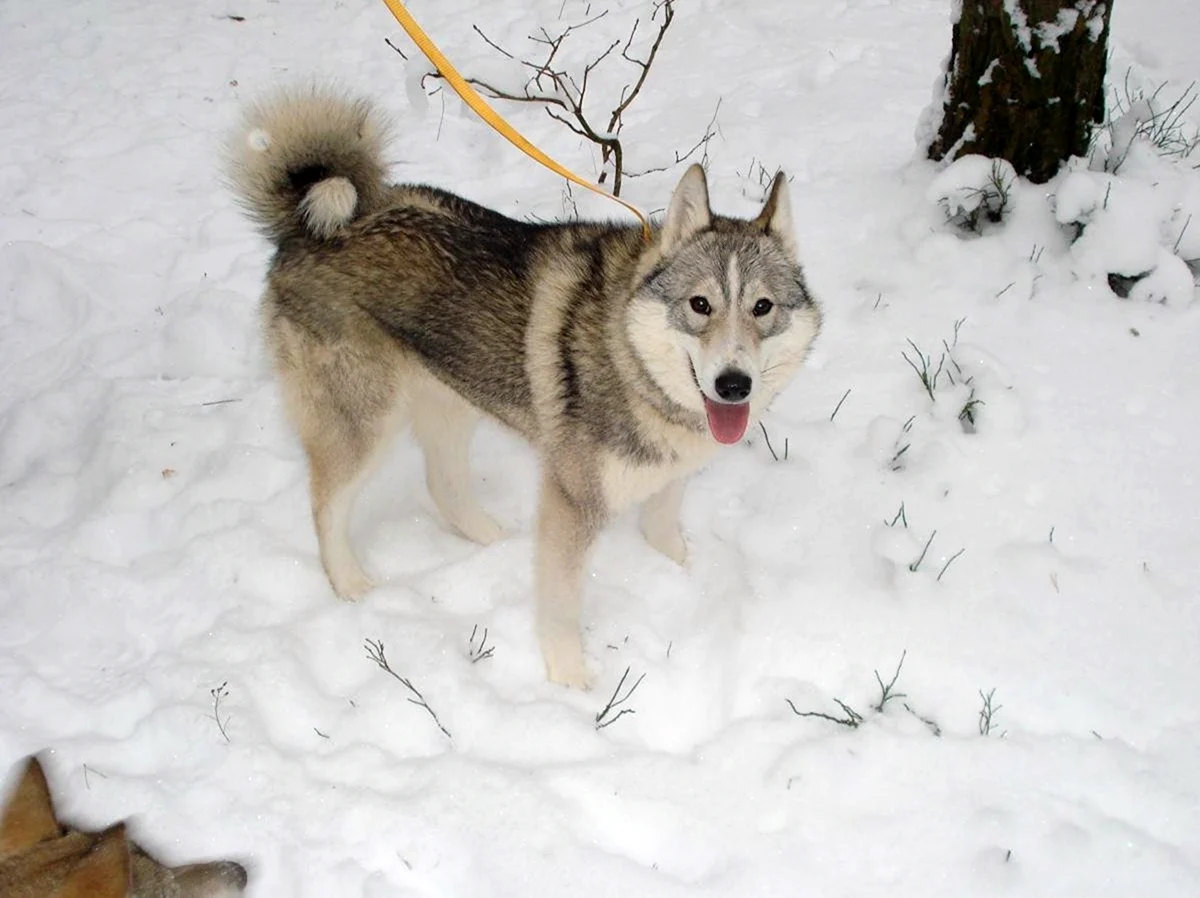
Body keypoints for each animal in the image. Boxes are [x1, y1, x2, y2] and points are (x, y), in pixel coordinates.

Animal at [225, 85, 820, 686]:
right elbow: (559, 606)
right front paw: (571, 686)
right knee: (327, 507)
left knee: (444, 487)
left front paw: (686, 581)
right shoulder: (571, 502)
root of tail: (311, 225)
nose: (733, 385)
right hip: (364, 422)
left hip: (452, 398)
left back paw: (497, 545)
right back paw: (351, 588)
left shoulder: (668, 482)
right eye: (700, 305)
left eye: (762, 308)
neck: (630, 359)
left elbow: (665, 539)